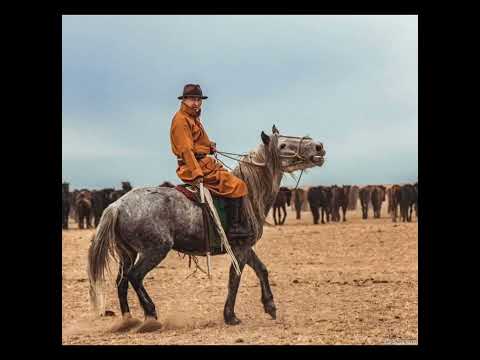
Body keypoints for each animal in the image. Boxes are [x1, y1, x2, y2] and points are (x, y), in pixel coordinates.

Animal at [87, 125, 326, 334]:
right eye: (283, 145)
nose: (319, 146)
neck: (250, 193)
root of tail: (117, 205)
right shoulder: (239, 249)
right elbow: (234, 279)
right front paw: (230, 316)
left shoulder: (245, 248)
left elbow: (261, 269)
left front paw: (270, 306)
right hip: (153, 251)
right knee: (134, 277)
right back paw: (151, 316)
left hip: (127, 253)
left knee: (122, 282)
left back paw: (127, 320)